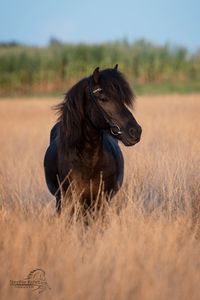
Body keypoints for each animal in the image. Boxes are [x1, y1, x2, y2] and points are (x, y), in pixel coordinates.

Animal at [43, 64, 141, 214]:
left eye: (122, 99)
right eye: (103, 98)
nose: (135, 131)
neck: (89, 160)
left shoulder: (101, 201)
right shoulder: (70, 201)